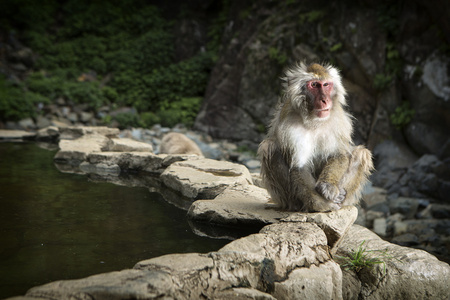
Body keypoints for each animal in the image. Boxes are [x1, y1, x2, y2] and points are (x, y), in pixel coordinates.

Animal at [258, 61, 374, 211]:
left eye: (326, 85)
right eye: (314, 85)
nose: (324, 100)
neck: (314, 121)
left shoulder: (339, 120)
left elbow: (339, 154)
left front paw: (328, 186)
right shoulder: (289, 127)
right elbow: (299, 167)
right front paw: (322, 203)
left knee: (361, 153)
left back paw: (342, 195)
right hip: (282, 198)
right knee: (269, 147)